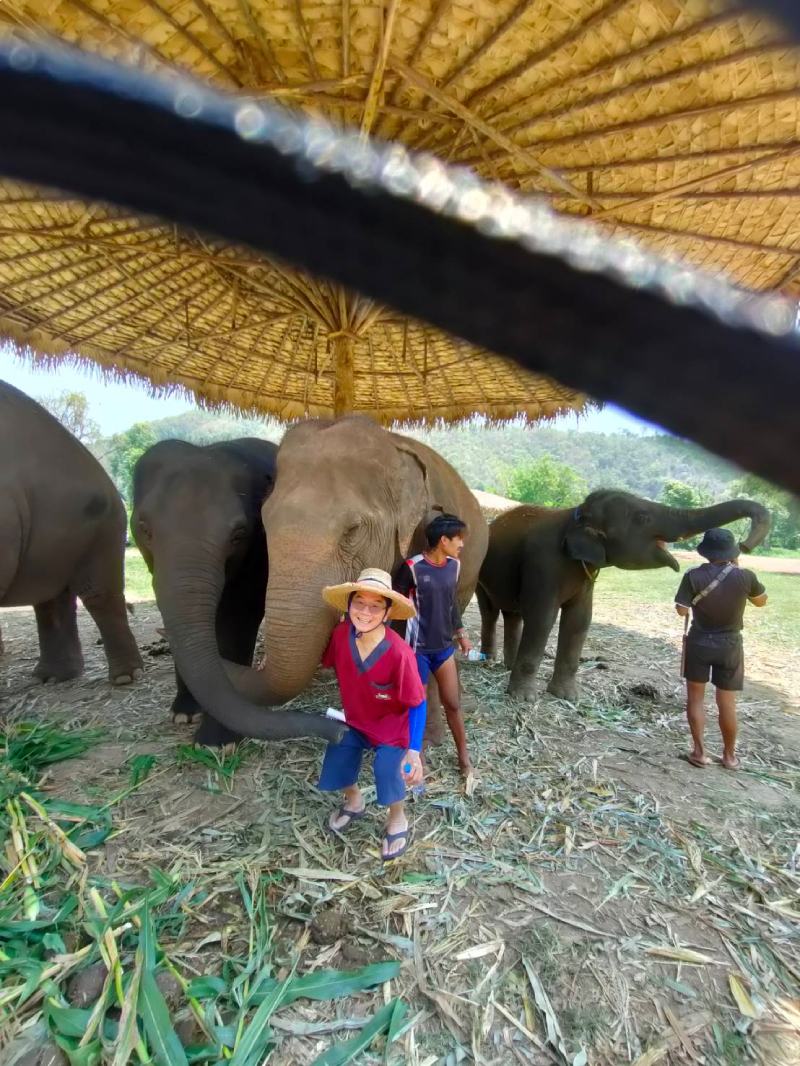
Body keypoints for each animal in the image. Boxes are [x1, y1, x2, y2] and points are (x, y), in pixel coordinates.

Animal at [131, 438, 279, 746]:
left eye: (239, 534)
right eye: (144, 528)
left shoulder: (259, 552)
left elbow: (239, 618)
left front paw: (216, 741)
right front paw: (184, 714)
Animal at [476, 490, 771, 703]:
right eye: (642, 517)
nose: (744, 545)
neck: (576, 516)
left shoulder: (586, 576)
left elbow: (579, 621)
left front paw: (568, 697)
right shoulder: (543, 564)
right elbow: (542, 618)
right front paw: (524, 699)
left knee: (512, 614)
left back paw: (506, 665)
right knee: (490, 612)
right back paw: (488, 660)